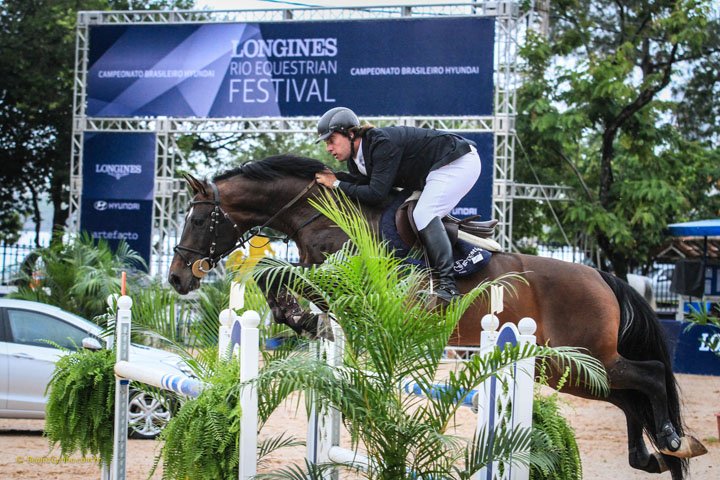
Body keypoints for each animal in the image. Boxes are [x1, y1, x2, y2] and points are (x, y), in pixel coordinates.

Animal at [169, 154, 708, 476]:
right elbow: (274, 277)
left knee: (650, 376)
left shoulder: (351, 284)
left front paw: (299, 317)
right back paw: (654, 456)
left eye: (195, 218)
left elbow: (278, 277)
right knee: (629, 397)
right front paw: (303, 320)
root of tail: (602, 276)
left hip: (578, 358)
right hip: (570, 370)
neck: (322, 213)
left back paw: (673, 440)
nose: (176, 278)